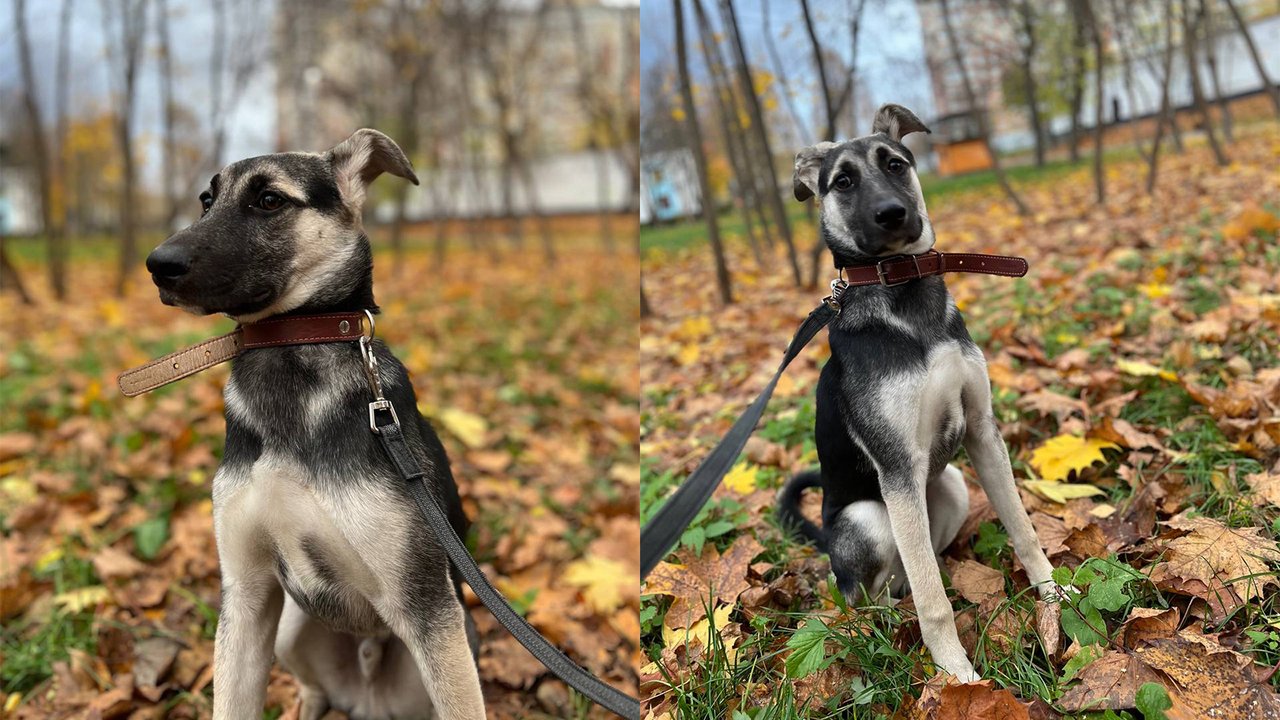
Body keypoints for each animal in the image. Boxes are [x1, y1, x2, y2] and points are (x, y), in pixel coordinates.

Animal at [145, 130, 483, 717]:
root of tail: (367, 693)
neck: (288, 347)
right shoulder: (247, 593)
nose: (157, 264)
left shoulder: (428, 606)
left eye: (269, 200)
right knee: (314, 689)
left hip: (462, 637)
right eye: (207, 200)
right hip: (289, 629)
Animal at [773, 103, 1054, 681]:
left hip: (949, 486)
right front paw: (957, 674)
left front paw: (1054, 594)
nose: (892, 214)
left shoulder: (983, 432)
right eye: (843, 181)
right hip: (870, 517)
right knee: (866, 596)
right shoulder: (898, 467)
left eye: (896, 164)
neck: (904, 289)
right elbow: (934, 602)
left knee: (912, 570)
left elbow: (1023, 528)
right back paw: (885, 624)